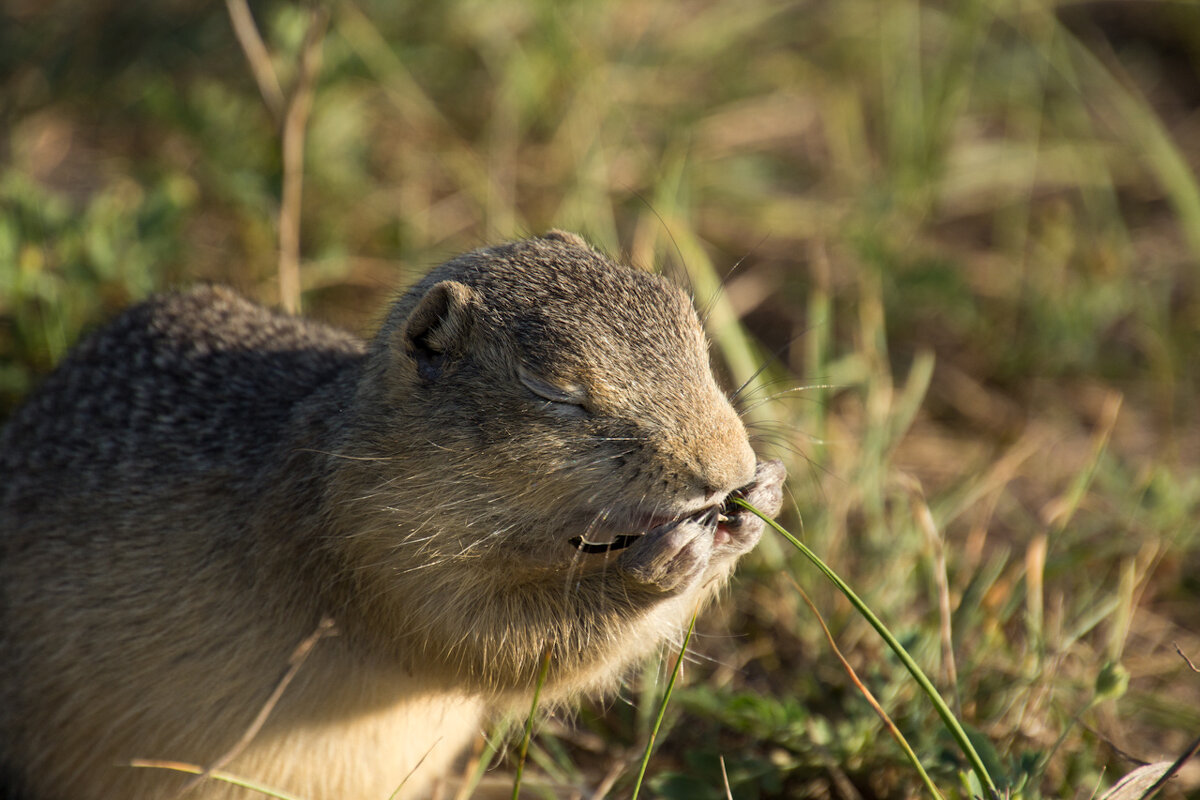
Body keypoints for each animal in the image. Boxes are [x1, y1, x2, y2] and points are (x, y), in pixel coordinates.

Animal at [0, 231, 787, 800]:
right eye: (554, 390)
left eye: (696, 334)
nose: (726, 470)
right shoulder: (372, 553)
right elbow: (506, 645)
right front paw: (663, 565)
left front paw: (766, 498)